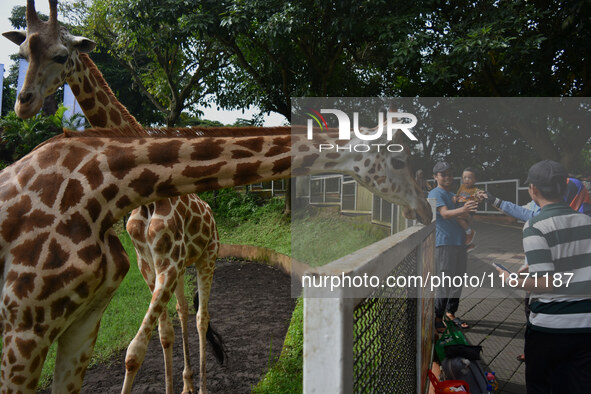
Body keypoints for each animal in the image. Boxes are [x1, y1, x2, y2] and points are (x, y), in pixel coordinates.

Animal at [2, 1, 222, 392]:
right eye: (22, 54)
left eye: (61, 55)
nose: (23, 104)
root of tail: (210, 213)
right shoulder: (149, 262)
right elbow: (163, 334)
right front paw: (172, 386)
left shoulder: (168, 263)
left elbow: (135, 351)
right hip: (182, 267)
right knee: (183, 314)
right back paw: (186, 384)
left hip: (207, 257)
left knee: (201, 317)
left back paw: (202, 386)